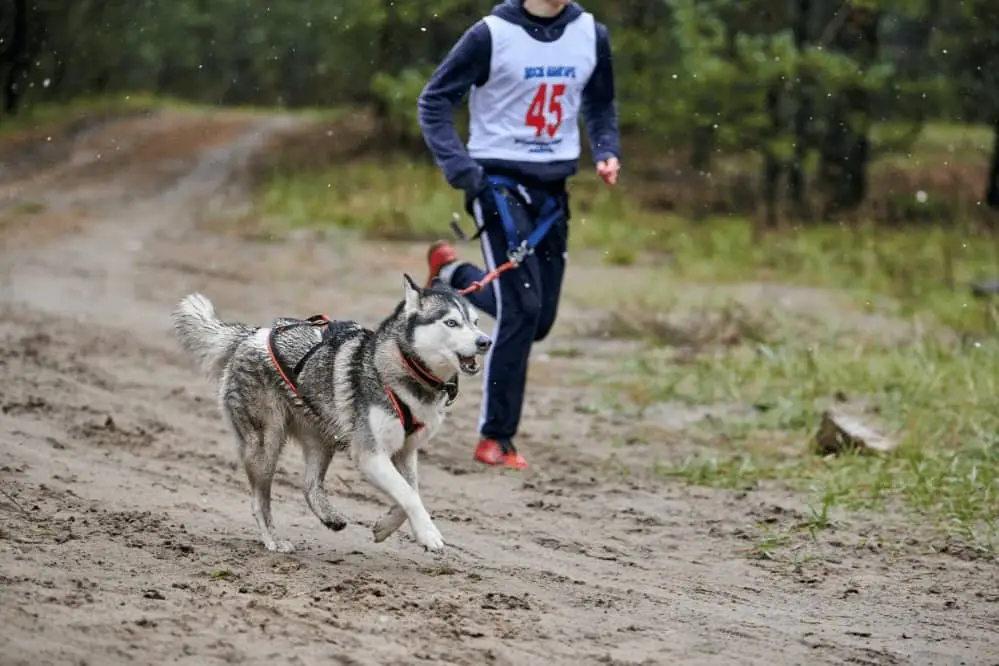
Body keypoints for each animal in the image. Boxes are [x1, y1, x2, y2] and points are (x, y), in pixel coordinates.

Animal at [172, 272, 492, 552]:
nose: (485, 341)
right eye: (451, 322)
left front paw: (385, 526)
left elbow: (409, 490)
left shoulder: (406, 450)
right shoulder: (370, 454)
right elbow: (408, 495)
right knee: (259, 501)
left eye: (476, 322)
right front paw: (429, 534)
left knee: (309, 484)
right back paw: (274, 540)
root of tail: (251, 335)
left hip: (320, 438)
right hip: (265, 444)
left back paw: (329, 516)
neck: (407, 369)